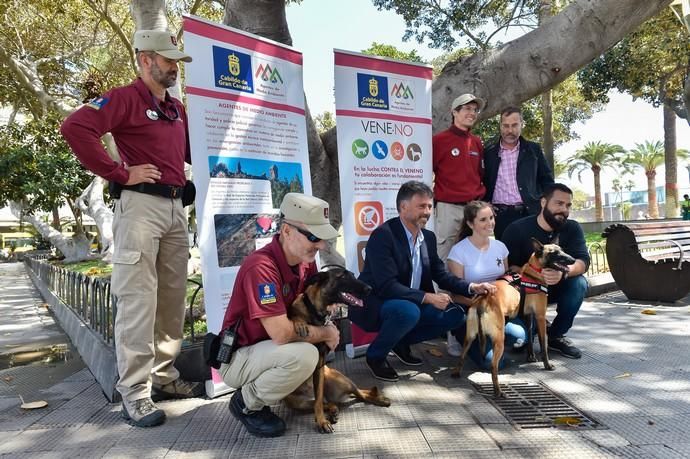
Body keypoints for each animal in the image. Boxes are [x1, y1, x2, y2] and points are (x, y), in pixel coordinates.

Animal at [284, 268, 388, 434]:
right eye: (343, 276)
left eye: (353, 275)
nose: (369, 288)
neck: (316, 311)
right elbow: (294, 318)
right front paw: (299, 323)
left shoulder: (320, 362)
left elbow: (319, 400)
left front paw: (321, 421)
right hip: (299, 402)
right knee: (326, 403)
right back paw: (333, 410)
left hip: (342, 381)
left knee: (359, 393)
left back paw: (378, 399)